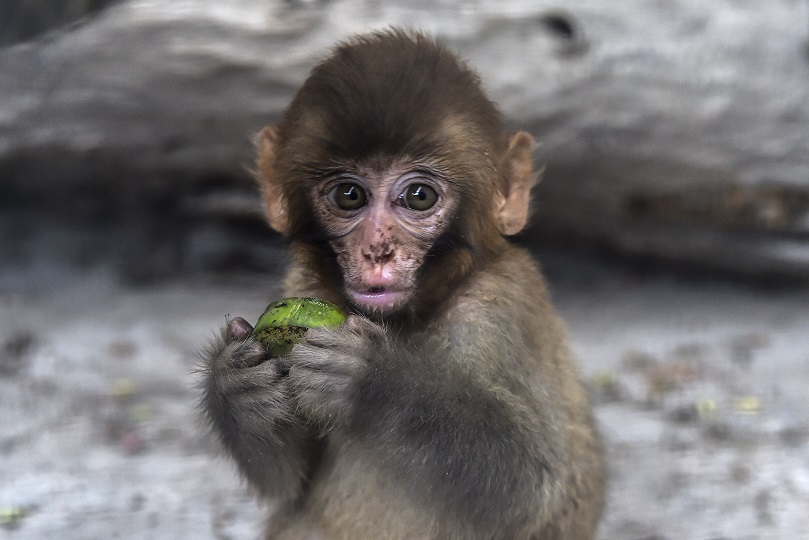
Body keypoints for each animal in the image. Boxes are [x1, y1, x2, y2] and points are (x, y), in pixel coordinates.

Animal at [200, 29, 608, 540]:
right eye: (348, 195)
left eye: (418, 196)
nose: (377, 251)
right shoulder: (306, 282)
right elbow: (289, 479)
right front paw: (235, 385)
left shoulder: (501, 306)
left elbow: (537, 485)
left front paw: (380, 382)